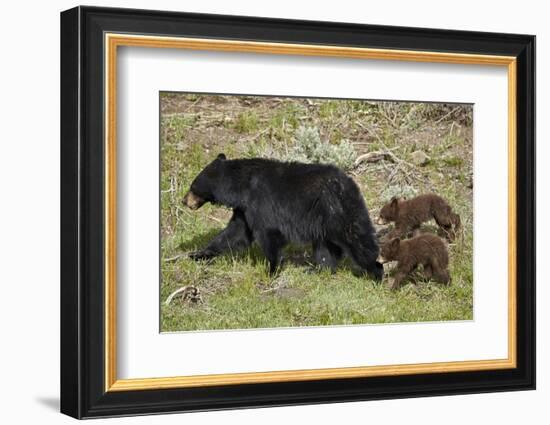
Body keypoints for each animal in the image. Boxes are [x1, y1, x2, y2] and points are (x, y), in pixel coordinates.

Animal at [183, 152, 382, 278]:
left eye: (192, 187)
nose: (184, 201)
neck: (242, 186)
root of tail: (349, 182)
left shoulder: (261, 202)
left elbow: (268, 234)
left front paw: (271, 270)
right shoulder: (245, 209)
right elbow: (235, 233)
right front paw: (198, 254)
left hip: (338, 212)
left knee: (357, 241)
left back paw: (376, 272)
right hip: (323, 221)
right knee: (325, 248)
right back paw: (318, 270)